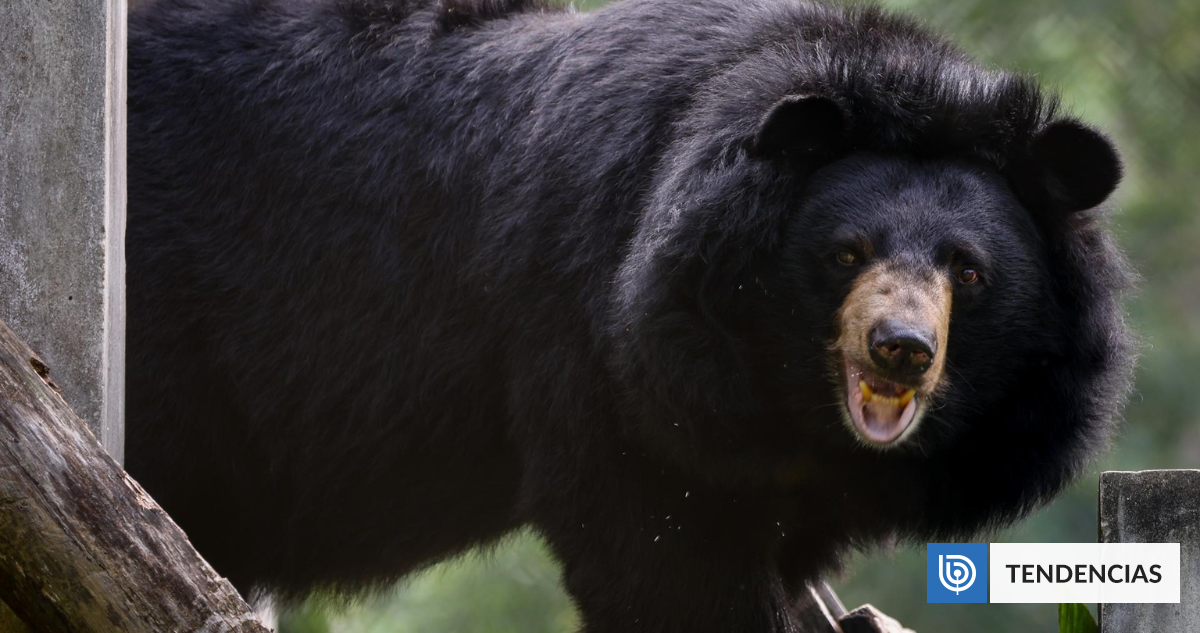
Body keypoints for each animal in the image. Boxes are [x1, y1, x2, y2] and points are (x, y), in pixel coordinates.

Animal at [124, 0, 1133, 630]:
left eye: (969, 269)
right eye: (846, 252)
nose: (901, 350)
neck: (783, 402)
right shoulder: (600, 349)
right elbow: (656, 553)